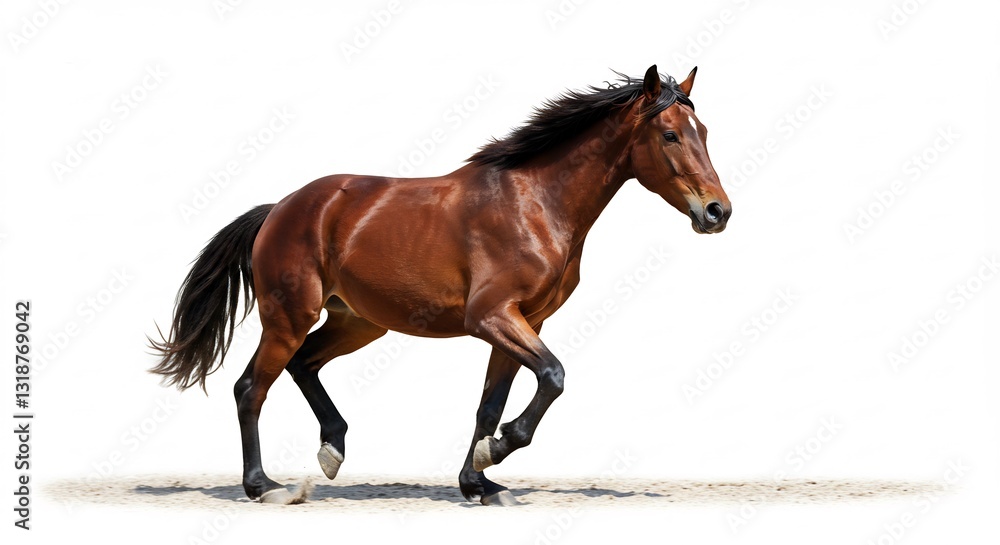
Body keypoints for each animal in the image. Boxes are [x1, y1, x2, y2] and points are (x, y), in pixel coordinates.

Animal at [149, 64, 732, 506]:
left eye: (704, 132)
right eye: (670, 134)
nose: (717, 211)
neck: (536, 204)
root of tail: (280, 209)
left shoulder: (526, 320)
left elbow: (493, 404)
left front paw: (479, 481)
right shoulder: (492, 316)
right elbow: (554, 377)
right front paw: (495, 452)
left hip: (358, 323)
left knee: (303, 365)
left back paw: (332, 451)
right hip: (290, 317)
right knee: (252, 387)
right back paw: (265, 486)